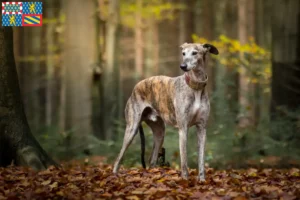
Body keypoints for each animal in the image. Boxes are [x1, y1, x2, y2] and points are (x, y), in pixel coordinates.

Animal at [112, 42, 218, 181]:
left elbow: (201, 159)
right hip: (132, 129)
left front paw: (202, 181)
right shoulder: (183, 128)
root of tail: (135, 87)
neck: (195, 87)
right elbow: (184, 160)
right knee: (119, 157)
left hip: (159, 133)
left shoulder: (202, 128)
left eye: (195, 53)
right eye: (183, 53)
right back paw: (114, 175)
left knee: (152, 160)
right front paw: (186, 181)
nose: (183, 66)